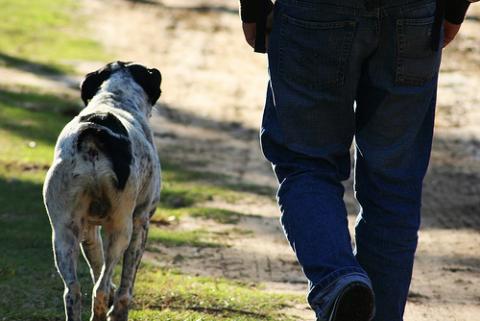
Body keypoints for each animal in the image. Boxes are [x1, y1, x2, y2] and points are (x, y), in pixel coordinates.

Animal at [42, 60, 161, 320]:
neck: (114, 99)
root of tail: (95, 129)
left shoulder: (88, 228)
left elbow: (96, 264)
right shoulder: (141, 222)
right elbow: (126, 285)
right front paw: (119, 311)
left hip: (63, 234)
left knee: (73, 292)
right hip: (120, 230)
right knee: (101, 289)